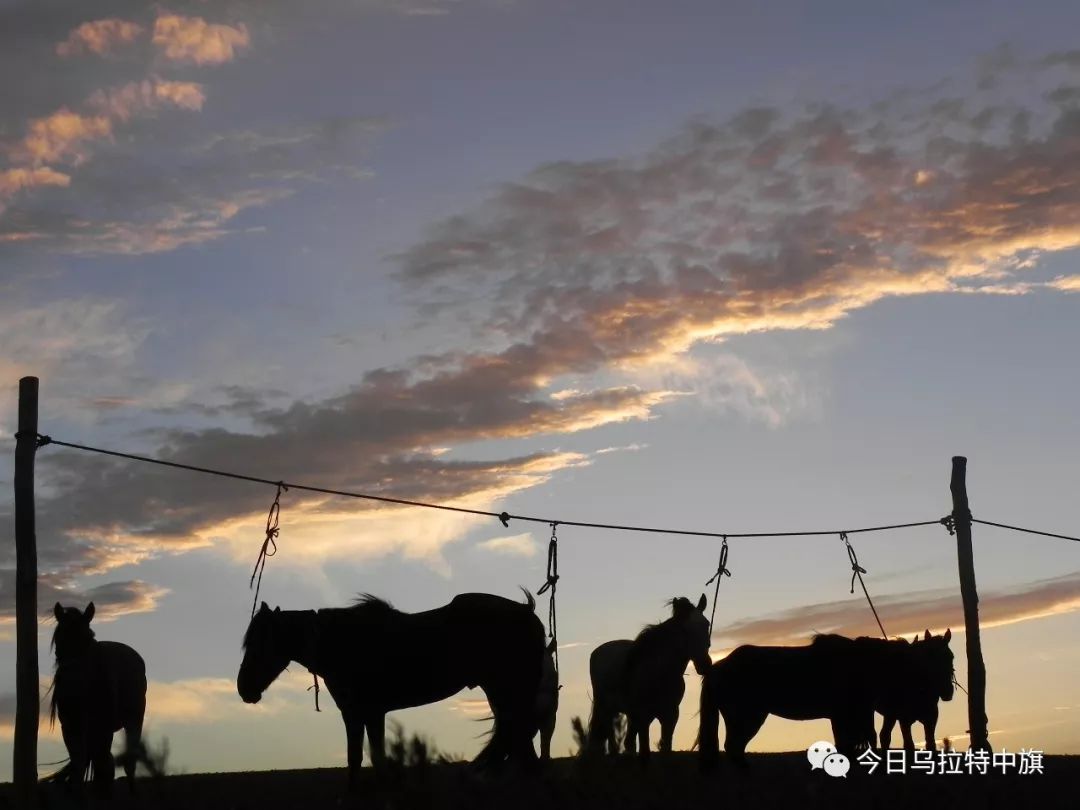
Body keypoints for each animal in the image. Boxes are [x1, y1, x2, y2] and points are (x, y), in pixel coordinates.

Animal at [48, 604, 149, 799]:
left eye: (87, 639)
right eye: (58, 639)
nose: (70, 688)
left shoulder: (103, 727)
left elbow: (103, 764)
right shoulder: (70, 728)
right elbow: (79, 764)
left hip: (133, 720)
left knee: (126, 761)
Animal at [587, 591, 712, 764]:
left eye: (706, 624)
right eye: (684, 630)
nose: (704, 665)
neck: (659, 671)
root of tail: (597, 652)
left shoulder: (670, 715)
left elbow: (666, 748)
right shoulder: (643, 716)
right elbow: (645, 752)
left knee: (628, 741)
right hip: (607, 709)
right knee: (612, 739)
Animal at [699, 630, 954, 768]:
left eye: (950, 656)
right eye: (930, 656)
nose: (947, 692)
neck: (863, 664)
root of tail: (717, 668)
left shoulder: (850, 715)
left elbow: (850, 743)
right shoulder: (853, 714)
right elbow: (860, 741)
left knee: (734, 747)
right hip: (748, 717)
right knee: (734, 746)